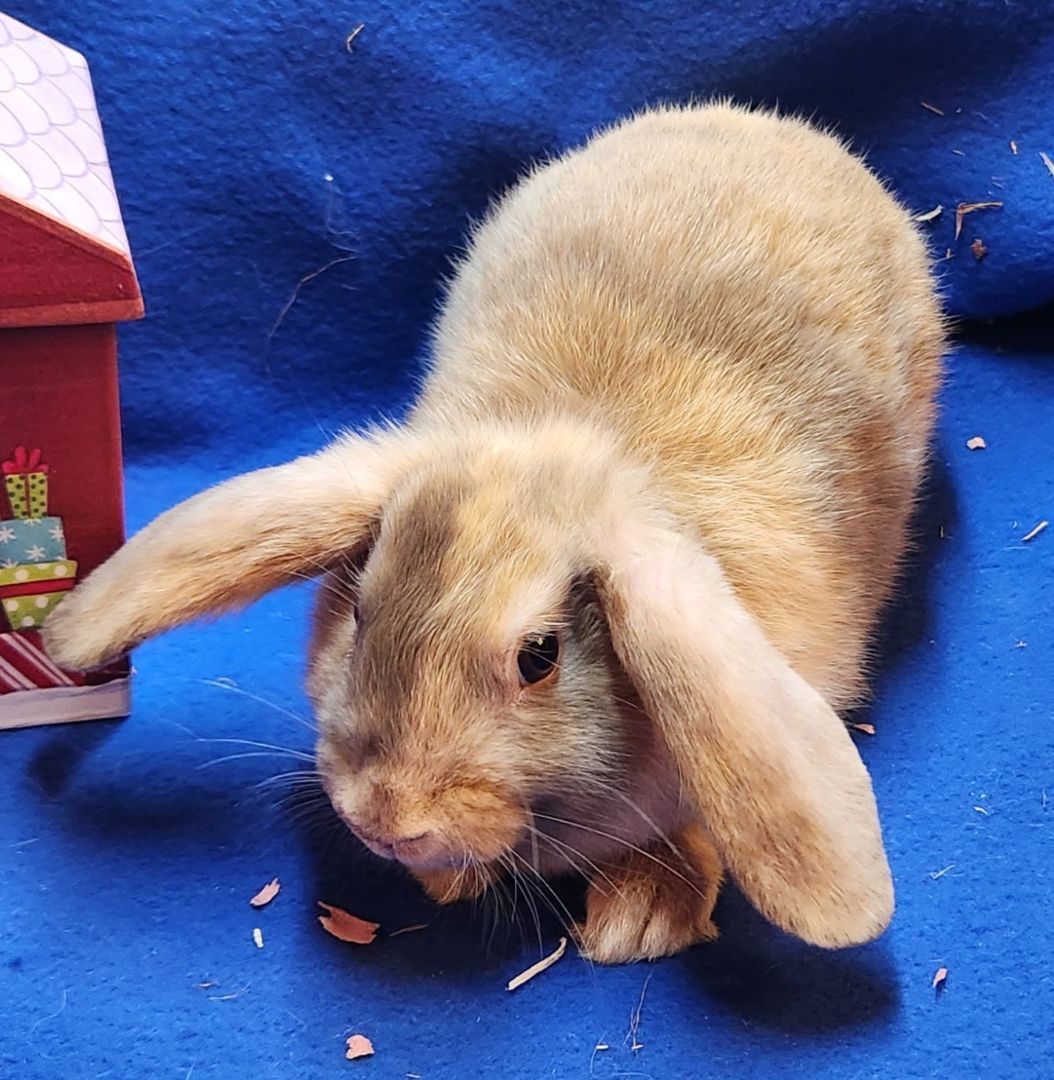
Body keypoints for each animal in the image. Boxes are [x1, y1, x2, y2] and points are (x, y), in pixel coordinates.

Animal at [44, 102, 943, 964]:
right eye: (359, 611)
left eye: (539, 657)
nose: (382, 820)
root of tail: (763, 125)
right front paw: (450, 881)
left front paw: (642, 918)